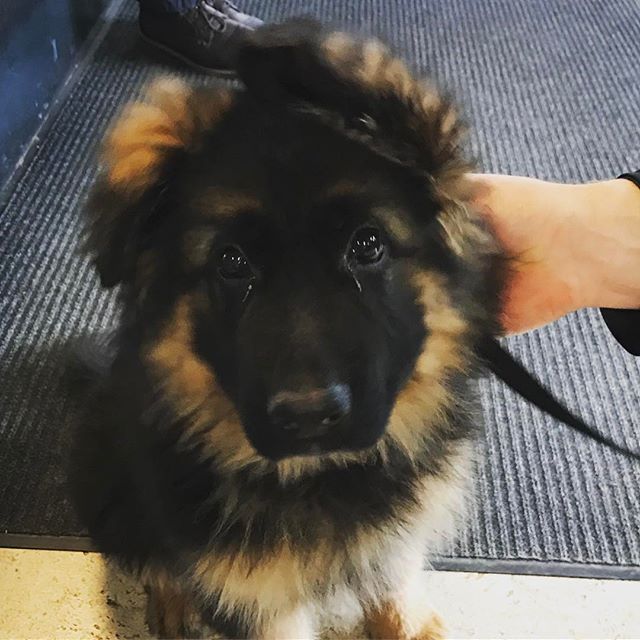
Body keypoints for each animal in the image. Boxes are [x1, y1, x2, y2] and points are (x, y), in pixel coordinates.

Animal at [70, 20, 500, 640]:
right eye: (231, 262)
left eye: (367, 245)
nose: (309, 416)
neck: (319, 476)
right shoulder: (250, 594)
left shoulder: (395, 532)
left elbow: (393, 575)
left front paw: (407, 621)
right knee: (148, 550)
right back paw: (173, 600)